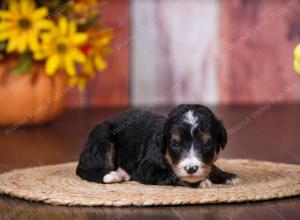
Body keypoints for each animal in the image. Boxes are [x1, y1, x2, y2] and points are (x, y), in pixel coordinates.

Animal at [77, 104, 239, 187]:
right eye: (175, 144)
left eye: (207, 144)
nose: (191, 169)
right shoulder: (146, 168)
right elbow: (172, 174)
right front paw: (199, 182)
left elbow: (211, 166)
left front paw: (227, 176)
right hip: (103, 139)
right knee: (84, 170)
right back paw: (113, 175)